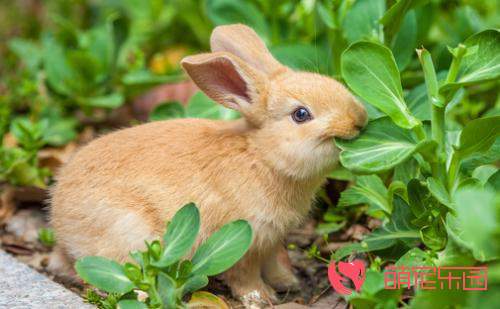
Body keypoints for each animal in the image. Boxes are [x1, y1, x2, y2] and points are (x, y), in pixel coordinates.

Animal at [49, 23, 368, 306]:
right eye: (301, 114)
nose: (359, 119)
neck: (261, 155)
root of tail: (59, 223)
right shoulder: (245, 241)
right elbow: (245, 276)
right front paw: (261, 298)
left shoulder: (271, 241)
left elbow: (272, 264)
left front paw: (287, 282)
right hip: (129, 232)